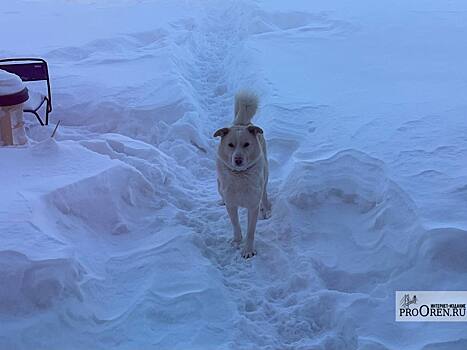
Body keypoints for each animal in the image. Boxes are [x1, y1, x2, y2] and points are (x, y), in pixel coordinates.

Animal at [213, 91, 270, 258]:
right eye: (230, 145)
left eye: (246, 144)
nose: (237, 160)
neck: (239, 176)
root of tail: (242, 123)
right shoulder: (232, 204)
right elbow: (236, 225)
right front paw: (237, 241)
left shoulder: (252, 205)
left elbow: (250, 231)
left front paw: (248, 250)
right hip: (219, 185)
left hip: (265, 173)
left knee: (264, 192)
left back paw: (266, 209)